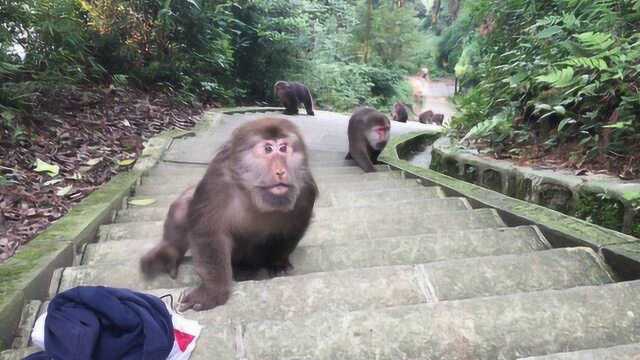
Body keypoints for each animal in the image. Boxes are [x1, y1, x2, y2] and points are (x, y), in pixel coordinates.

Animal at [141, 117, 318, 310]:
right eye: (268, 149)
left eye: (284, 148)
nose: (281, 171)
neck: (252, 193)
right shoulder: (217, 182)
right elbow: (208, 232)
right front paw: (213, 291)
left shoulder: (305, 188)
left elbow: (293, 229)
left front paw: (277, 261)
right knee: (184, 204)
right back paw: (170, 254)